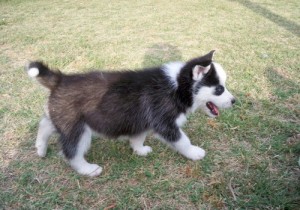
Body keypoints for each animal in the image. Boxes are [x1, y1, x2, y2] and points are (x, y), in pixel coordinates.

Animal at [26, 50, 234, 176]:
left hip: (60, 116)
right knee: (72, 152)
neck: (177, 86)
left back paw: (40, 148)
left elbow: (138, 137)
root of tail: (61, 79)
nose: (234, 101)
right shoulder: (164, 122)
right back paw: (87, 169)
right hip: (77, 128)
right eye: (219, 89)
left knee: (45, 124)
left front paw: (139, 150)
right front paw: (194, 152)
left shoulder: (142, 119)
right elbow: (182, 140)